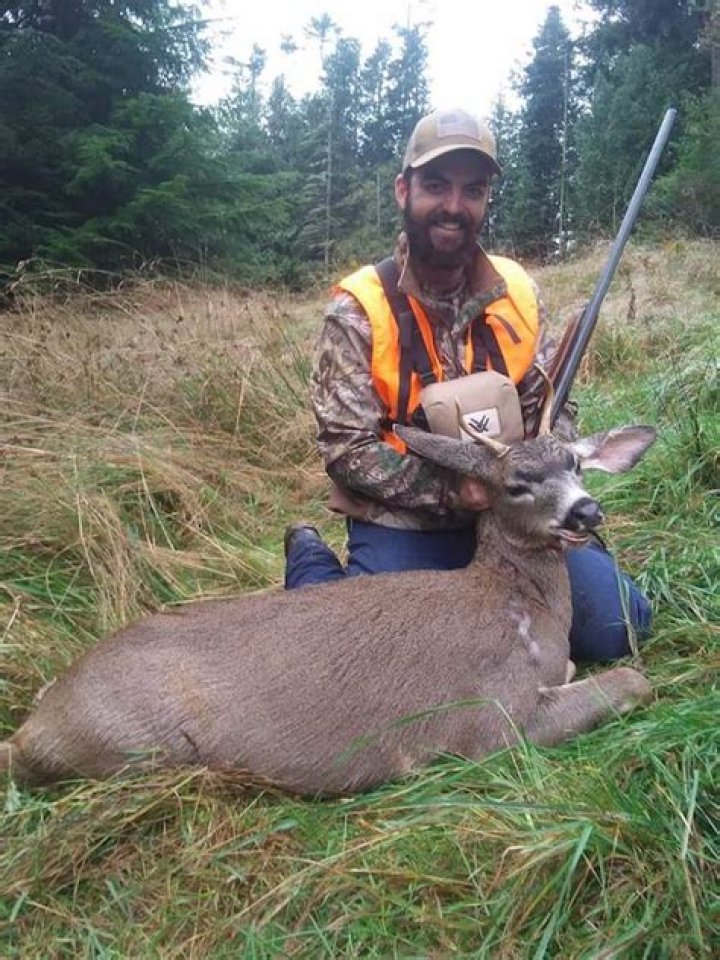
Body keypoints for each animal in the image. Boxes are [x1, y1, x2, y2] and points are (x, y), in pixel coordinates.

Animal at [0, 396, 656, 797]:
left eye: (576, 464)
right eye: (517, 483)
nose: (586, 511)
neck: (518, 606)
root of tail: (36, 721)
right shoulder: (492, 722)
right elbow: (634, 680)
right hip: (134, 748)